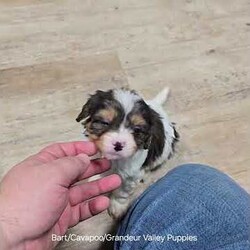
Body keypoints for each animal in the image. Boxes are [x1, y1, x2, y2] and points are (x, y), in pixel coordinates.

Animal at [75, 87, 179, 219]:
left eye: (137, 129)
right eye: (104, 122)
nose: (118, 144)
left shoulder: (130, 176)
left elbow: (122, 192)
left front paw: (117, 206)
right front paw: (96, 176)